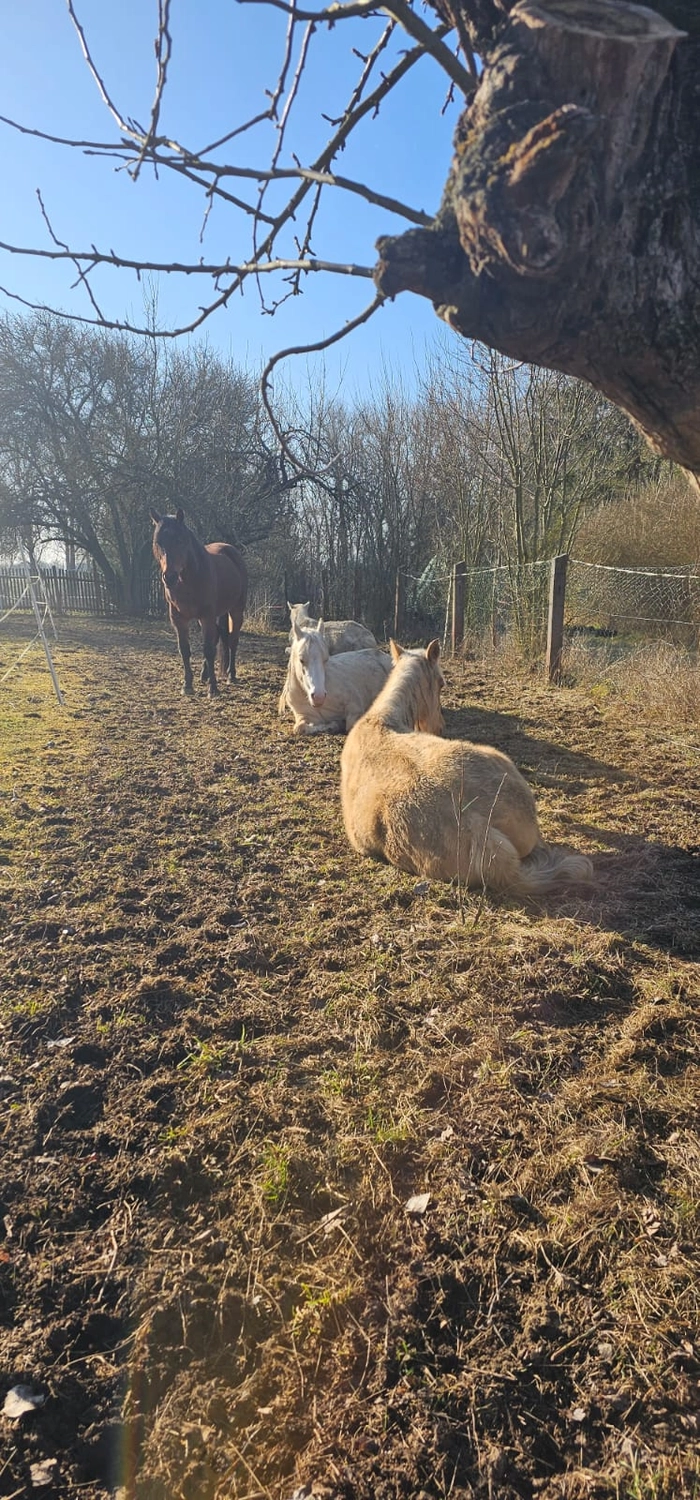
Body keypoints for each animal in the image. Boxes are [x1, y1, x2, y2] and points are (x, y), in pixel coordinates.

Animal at [151, 509, 248, 698]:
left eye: (180, 540)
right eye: (158, 542)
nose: (169, 578)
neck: (189, 580)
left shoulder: (207, 616)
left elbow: (208, 650)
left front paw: (213, 689)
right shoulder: (179, 619)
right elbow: (184, 650)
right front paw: (187, 685)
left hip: (236, 610)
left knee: (232, 640)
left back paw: (231, 675)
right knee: (218, 637)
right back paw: (204, 675)